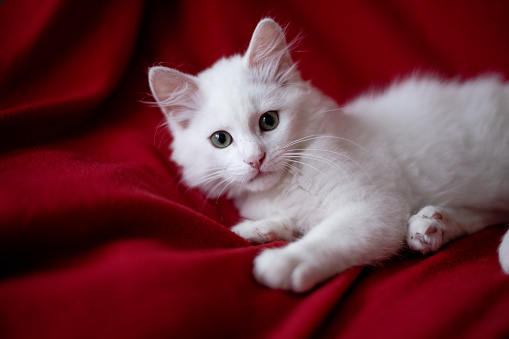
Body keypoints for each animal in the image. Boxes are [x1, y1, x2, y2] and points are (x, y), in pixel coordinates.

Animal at [149, 17, 508, 292]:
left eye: (269, 121)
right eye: (221, 140)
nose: (255, 159)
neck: (284, 185)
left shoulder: (374, 208)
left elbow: (325, 237)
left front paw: (285, 260)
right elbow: (288, 223)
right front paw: (258, 229)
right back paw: (432, 225)